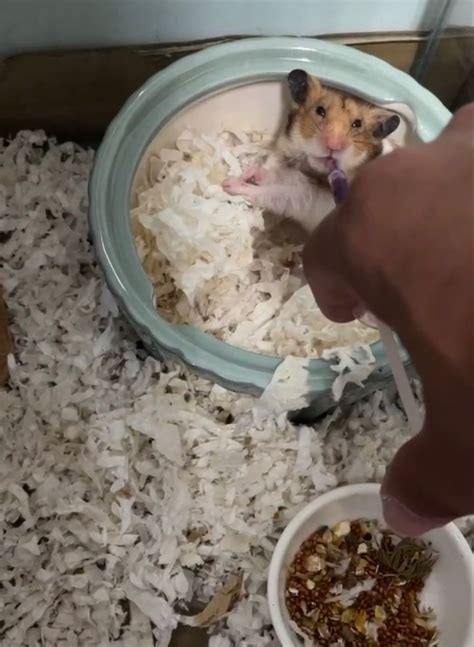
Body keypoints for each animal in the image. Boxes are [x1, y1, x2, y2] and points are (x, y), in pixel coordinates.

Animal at [223, 69, 401, 233]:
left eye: (357, 124)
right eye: (320, 111)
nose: (333, 145)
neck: (313, 172)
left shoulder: (301, 198)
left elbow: (271, 192)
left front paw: (229, 184)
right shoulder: (295, 177)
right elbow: (271, 175)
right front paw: (248, 173)